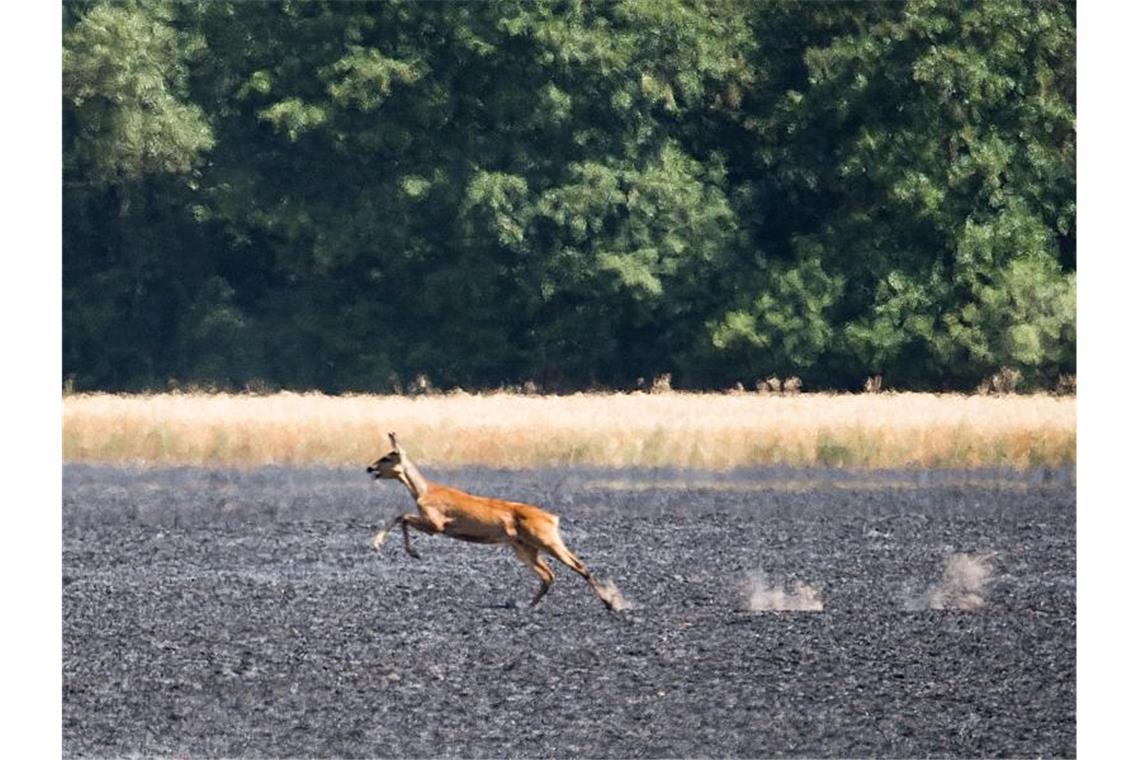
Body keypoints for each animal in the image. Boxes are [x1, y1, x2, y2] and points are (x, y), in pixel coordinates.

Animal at [367, 432, 624, 610]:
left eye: (388, 456)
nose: (370, 468)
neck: (423, 491)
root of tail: (553, 518)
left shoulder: (437, 523)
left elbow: (401, 516)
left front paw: (397, 548)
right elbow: (401, 516)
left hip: (546, 539)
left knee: (578, 566)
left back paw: (610, 603)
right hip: (523, 547)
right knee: (548, 574)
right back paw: (528, 605)